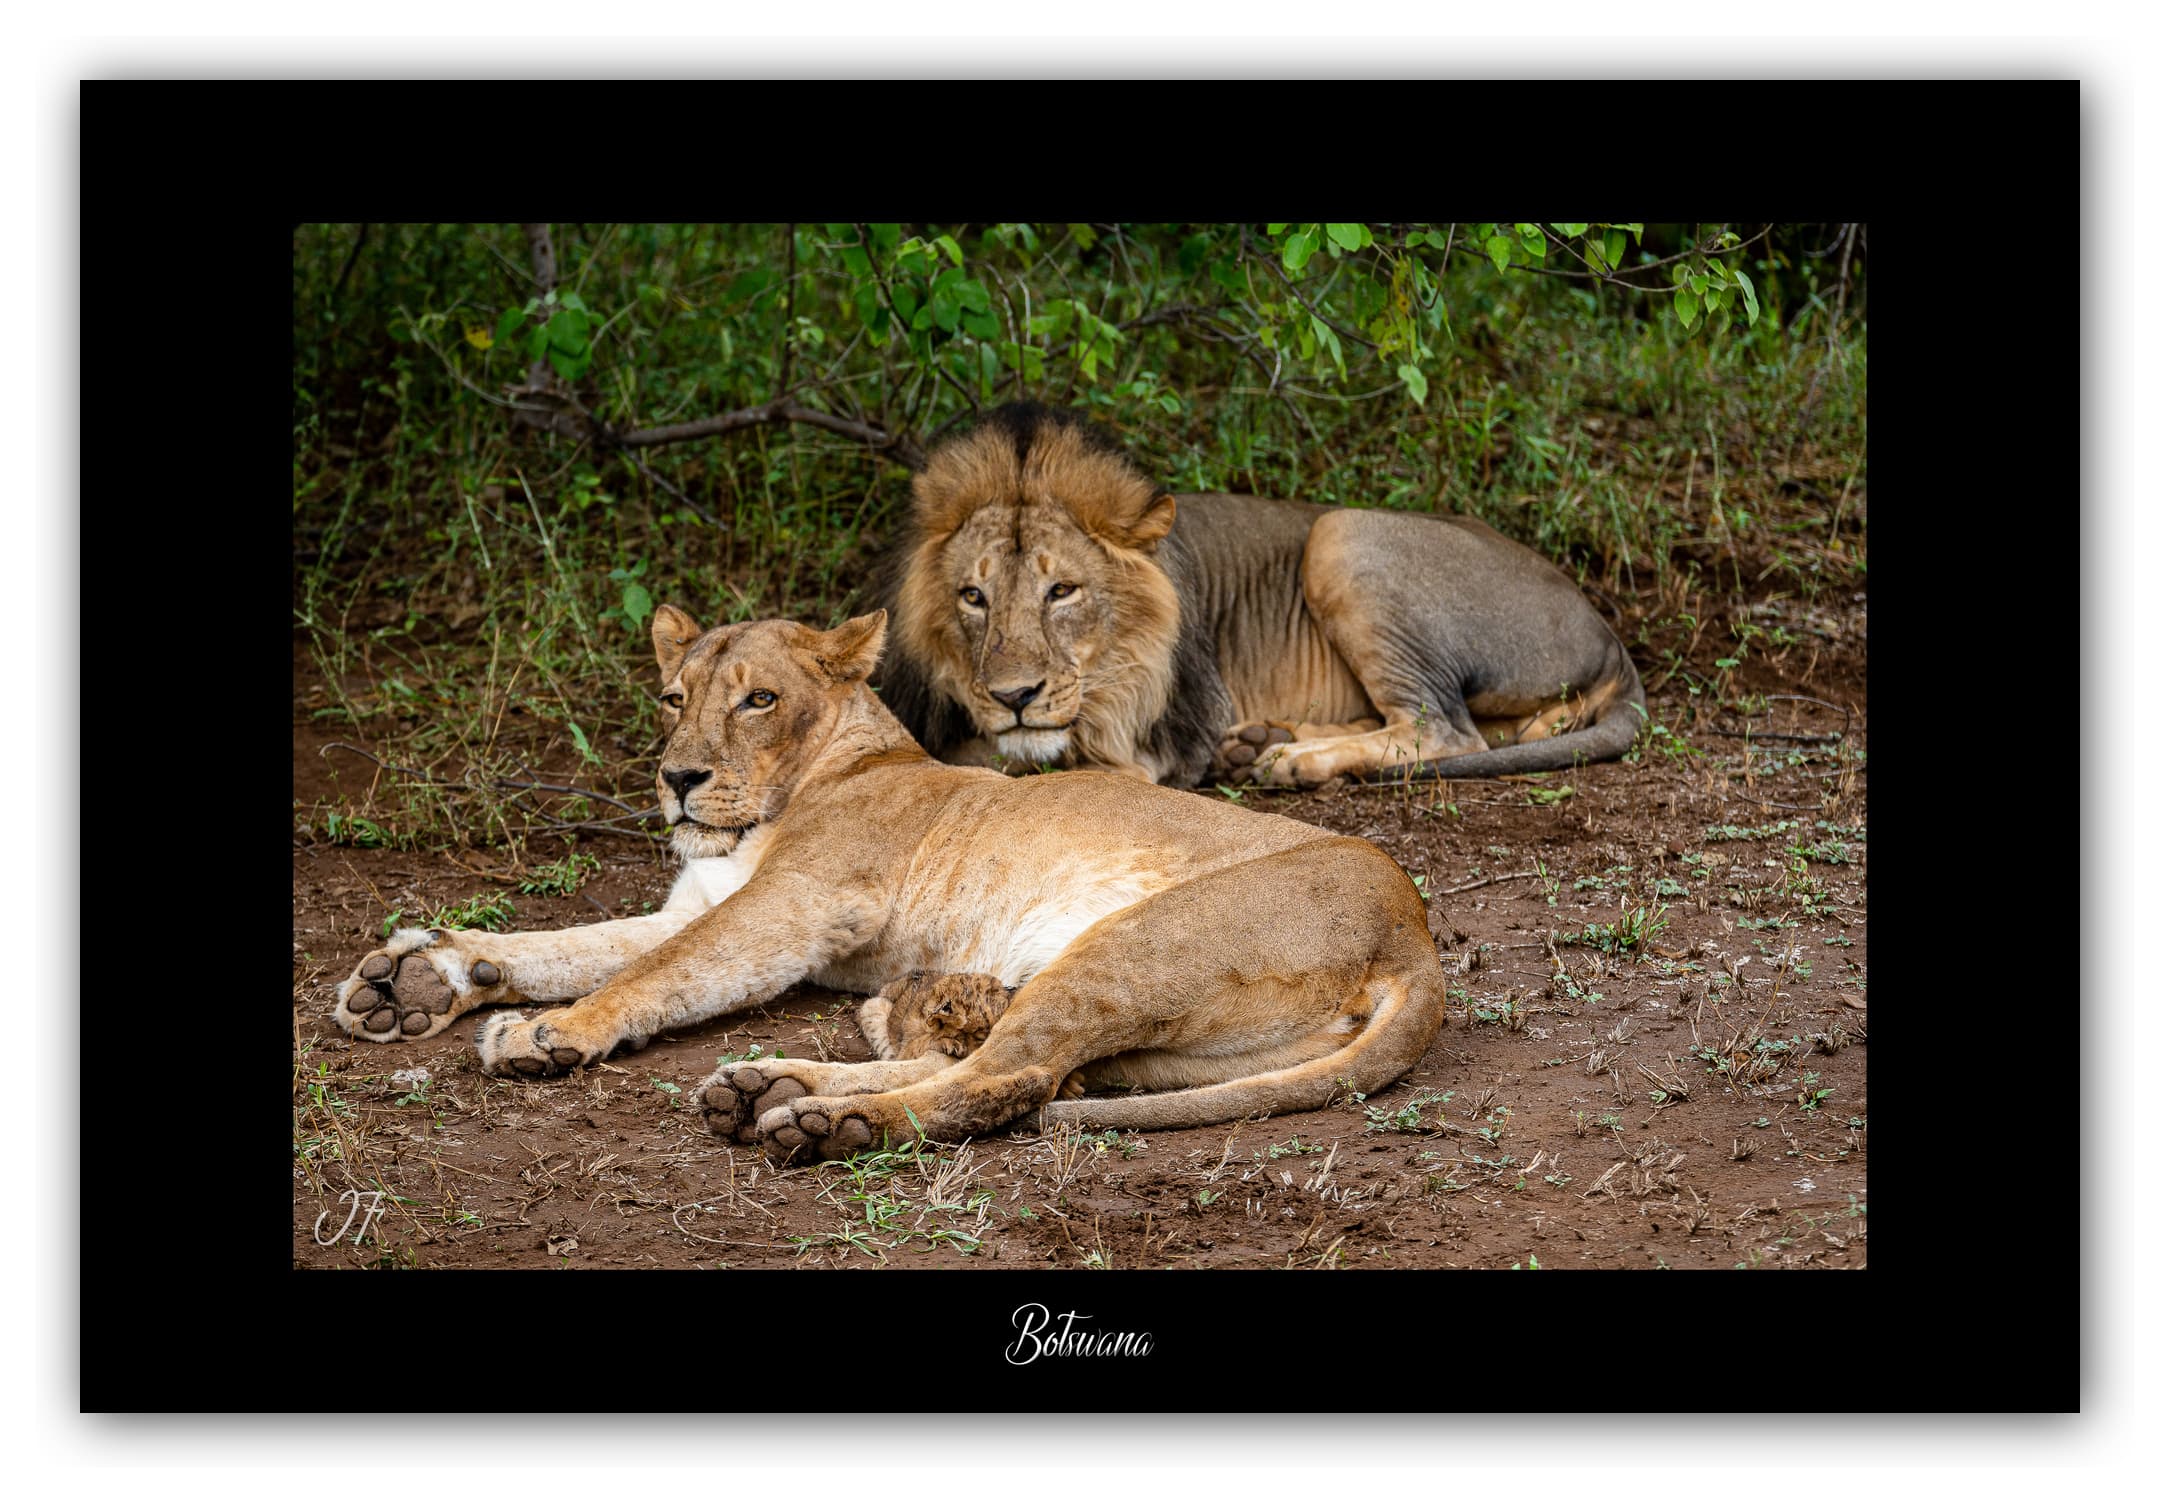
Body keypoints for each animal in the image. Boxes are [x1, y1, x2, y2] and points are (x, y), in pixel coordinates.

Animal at [333, 607, 1445, 1162]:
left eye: (758, 700)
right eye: (672, 697)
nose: (677, 778)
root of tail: (1420, 940)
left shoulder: (793, 908)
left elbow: (655, 973)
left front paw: (550, 1032)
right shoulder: (703, 901)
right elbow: (569, 946)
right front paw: (418, 981)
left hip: (1131, 949)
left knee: (1006, 1082)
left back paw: (826, 1125)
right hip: (1165, 1039)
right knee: (1022, 1066)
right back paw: (769, 1090)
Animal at [873, 402, 1645, 790]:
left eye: (1062, 590)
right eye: (973, 597)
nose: (1013, 697)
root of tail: (1609, 634)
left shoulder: (1160, 742)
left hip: (1341, 532)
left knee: (1445, 728)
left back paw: (1292, 762)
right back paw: (1269, 740)